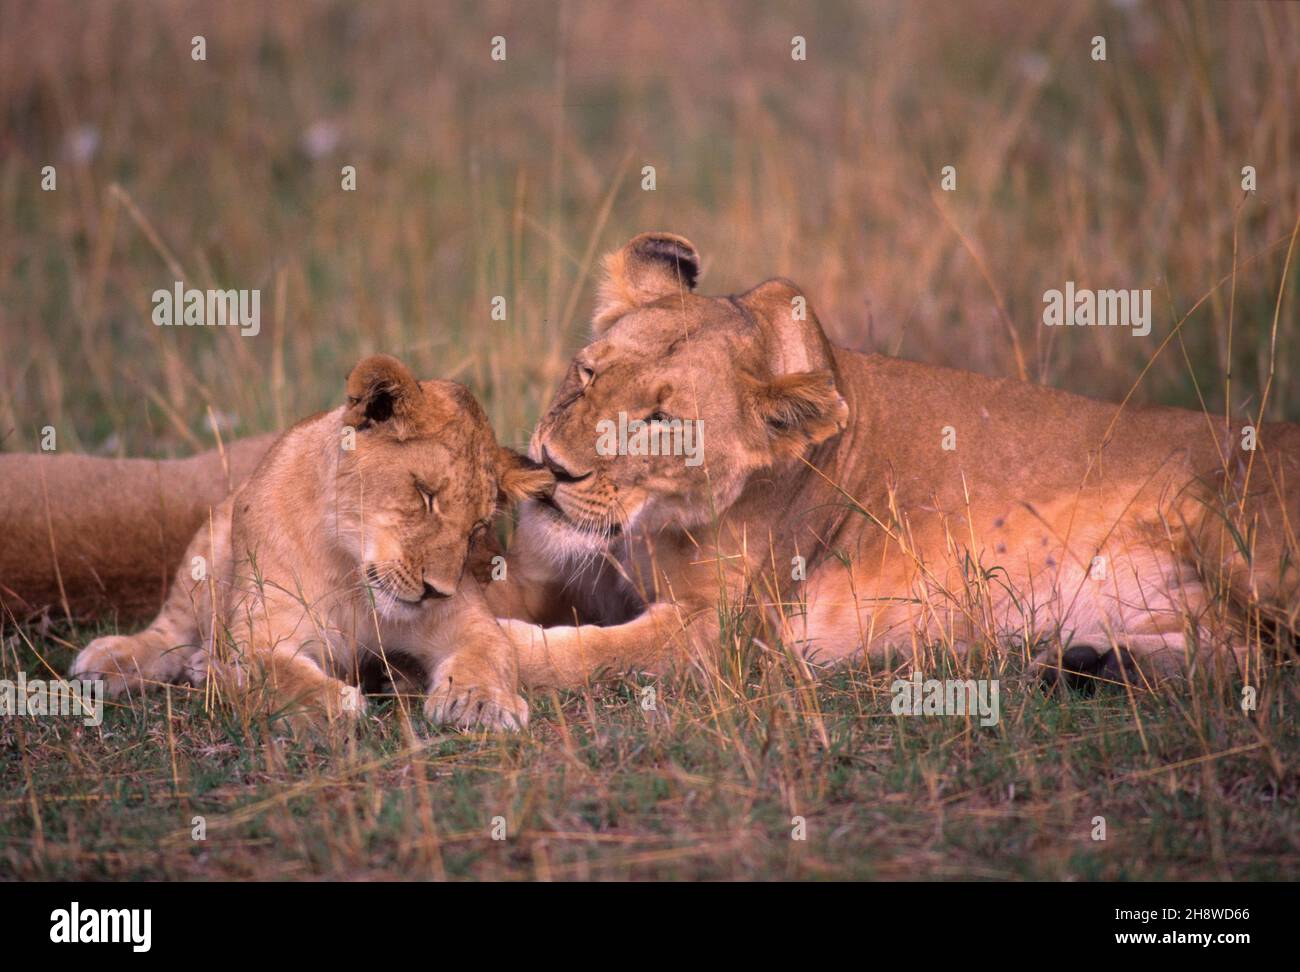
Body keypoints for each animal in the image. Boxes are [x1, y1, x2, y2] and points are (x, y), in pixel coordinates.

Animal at [66, 353, 552, 728]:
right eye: (424, 494)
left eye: (476, 529)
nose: (438, 590)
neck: (351, 577)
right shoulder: (259, 632)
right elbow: (275, 671)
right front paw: (332, 702)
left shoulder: (468, 621)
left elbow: (491, 654)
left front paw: (483, 702)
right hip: (207, 543)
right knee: (171, 631)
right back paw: (112, 660)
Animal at [487, 232, 1300, 690]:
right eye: (587, 375)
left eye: (663, 425)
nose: (553, 466)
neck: (647, 531)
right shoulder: (556, 572)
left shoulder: (722, 638)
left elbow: (592, 657)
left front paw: (493, 660)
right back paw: (1088, 662)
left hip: (1235, 532)